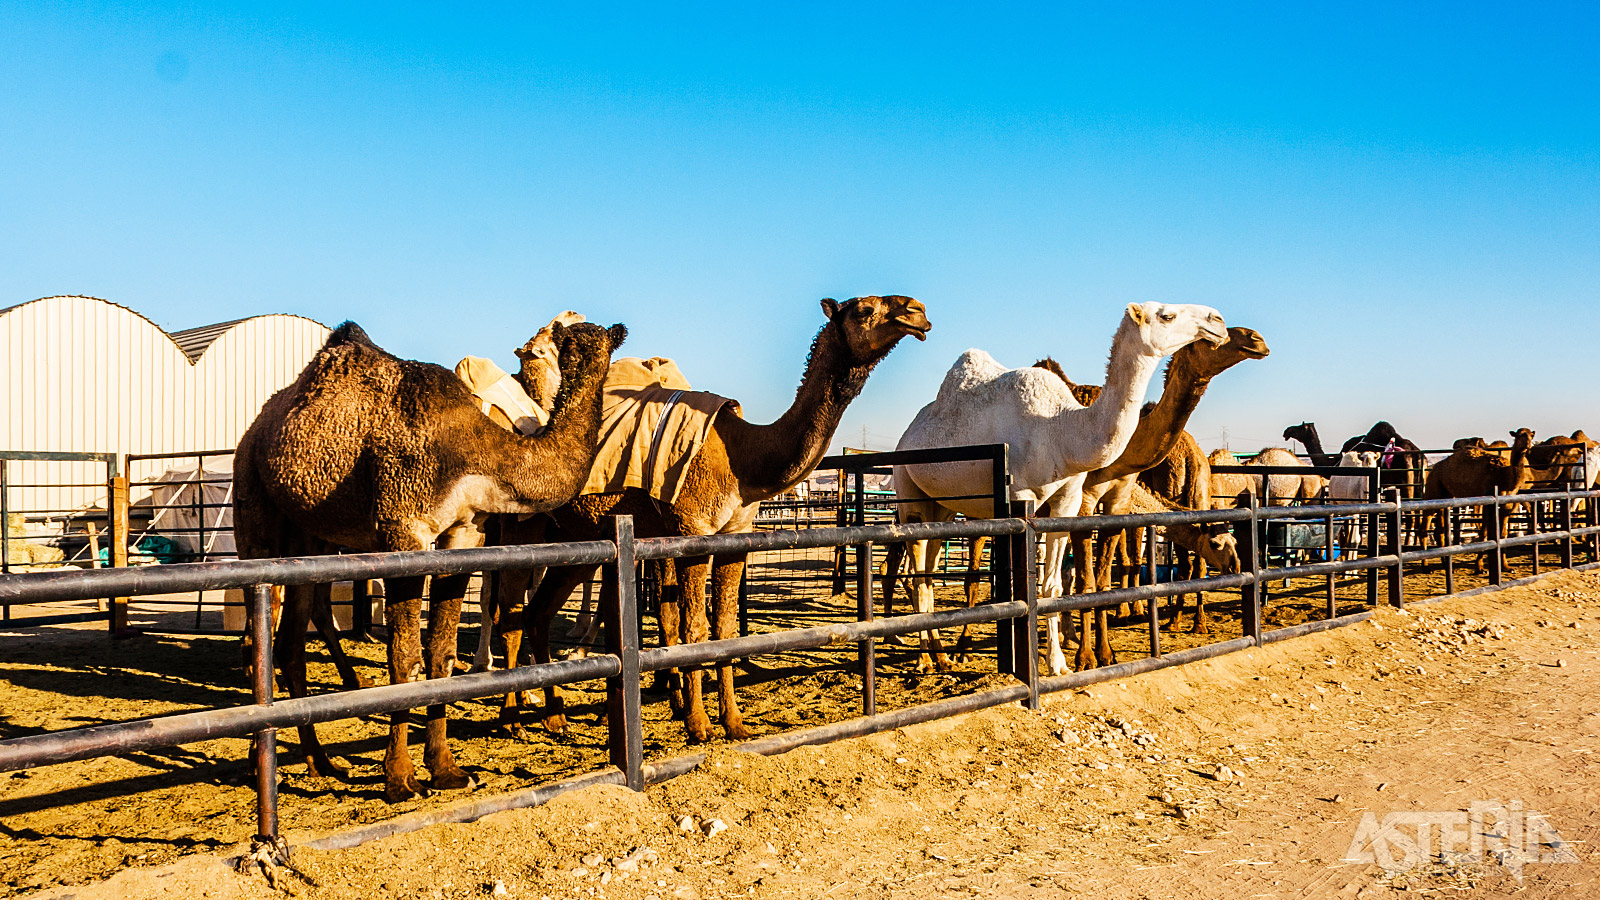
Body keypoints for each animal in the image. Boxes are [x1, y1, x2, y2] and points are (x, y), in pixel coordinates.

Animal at [236, 315, 624, 797]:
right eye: (565, 343)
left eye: (600, 341)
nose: (586, 357)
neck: (476, 447)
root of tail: (253, 432)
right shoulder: (405, 527)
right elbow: (404, 657)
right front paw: (400, 779)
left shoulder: (466, 530)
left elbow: (440, 651)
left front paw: (445, 770)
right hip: (253, 509)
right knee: (260, 627)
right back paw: (260, 762)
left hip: (308, 539)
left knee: (291, 640)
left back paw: (320, 762)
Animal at [889, 301, 1222, 672]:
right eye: (1166, 316)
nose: (1218, 321)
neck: (1063, 430)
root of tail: (907, 435)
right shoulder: (1019, 498)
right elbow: (1020, 585)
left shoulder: (1067, 500)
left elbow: (1051, 586)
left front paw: (1058, 664)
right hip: (909, 492)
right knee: (918, 570)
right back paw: (924, 660)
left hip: (944, 507)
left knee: (927, 569)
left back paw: (941, 654)